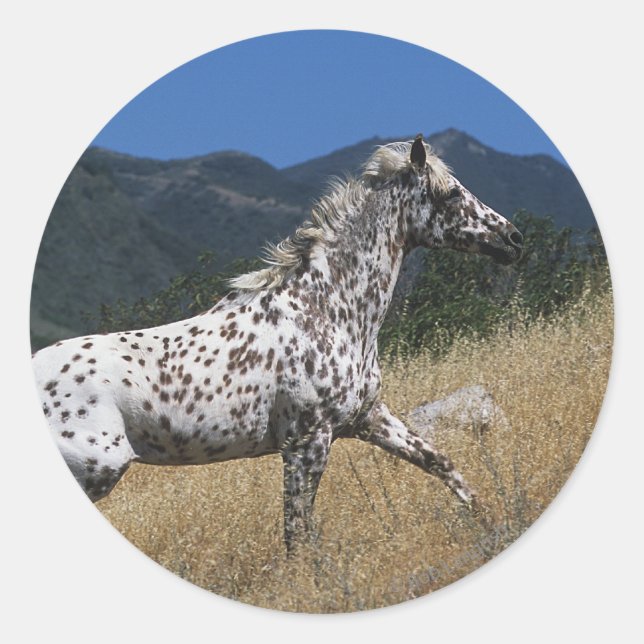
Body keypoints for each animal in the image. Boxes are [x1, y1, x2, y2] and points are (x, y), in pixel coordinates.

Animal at [33, 135, 523, 551]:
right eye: (452, 194)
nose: (512, 239)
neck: (327, 309)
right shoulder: (309, 441)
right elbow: (297, 531)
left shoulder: (368, 418)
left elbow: (440, 462)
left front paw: (491, 520)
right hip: (97, 470)